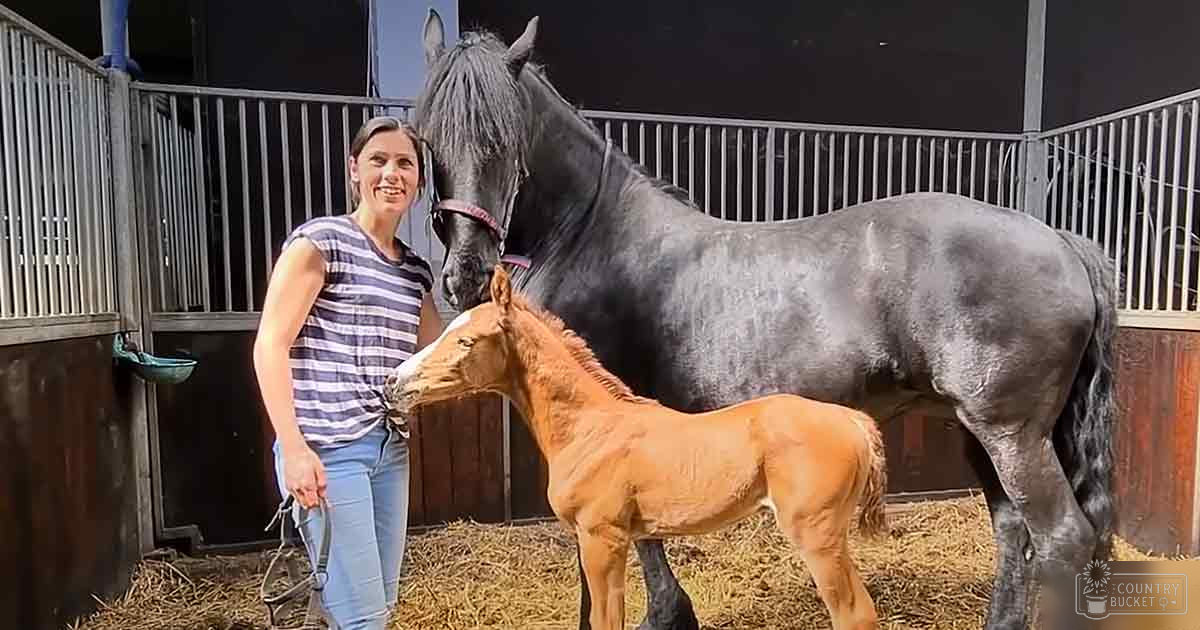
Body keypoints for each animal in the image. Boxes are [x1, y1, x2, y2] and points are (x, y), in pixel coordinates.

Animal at [386, 265, 889, 630]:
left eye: (467, 340)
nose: (395, 382)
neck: (590, 430)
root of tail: (854, 421)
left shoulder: (601, 538)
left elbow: (607, 621)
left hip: (817, 534)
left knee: (855, 615)